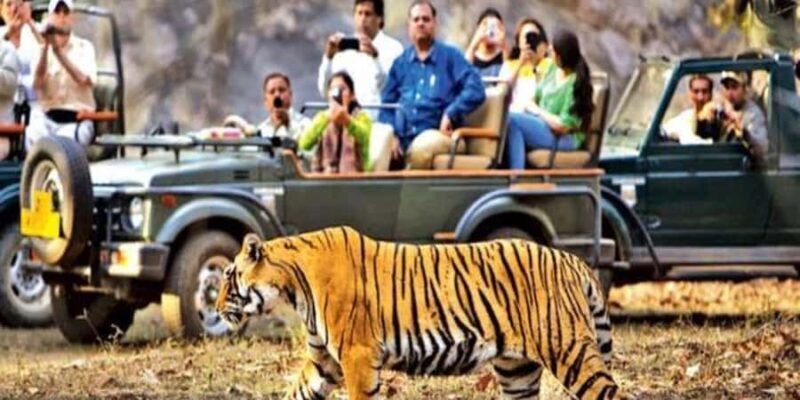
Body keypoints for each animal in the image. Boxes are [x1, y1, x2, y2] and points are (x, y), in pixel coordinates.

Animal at [216, 226, 618, 400]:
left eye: (228, 275)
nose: (217, 308)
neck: (293, 284)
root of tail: (572, 260)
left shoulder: (357, 355)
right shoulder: (324, 361)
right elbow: (299, 392)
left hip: (568, 352)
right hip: (517, 372)